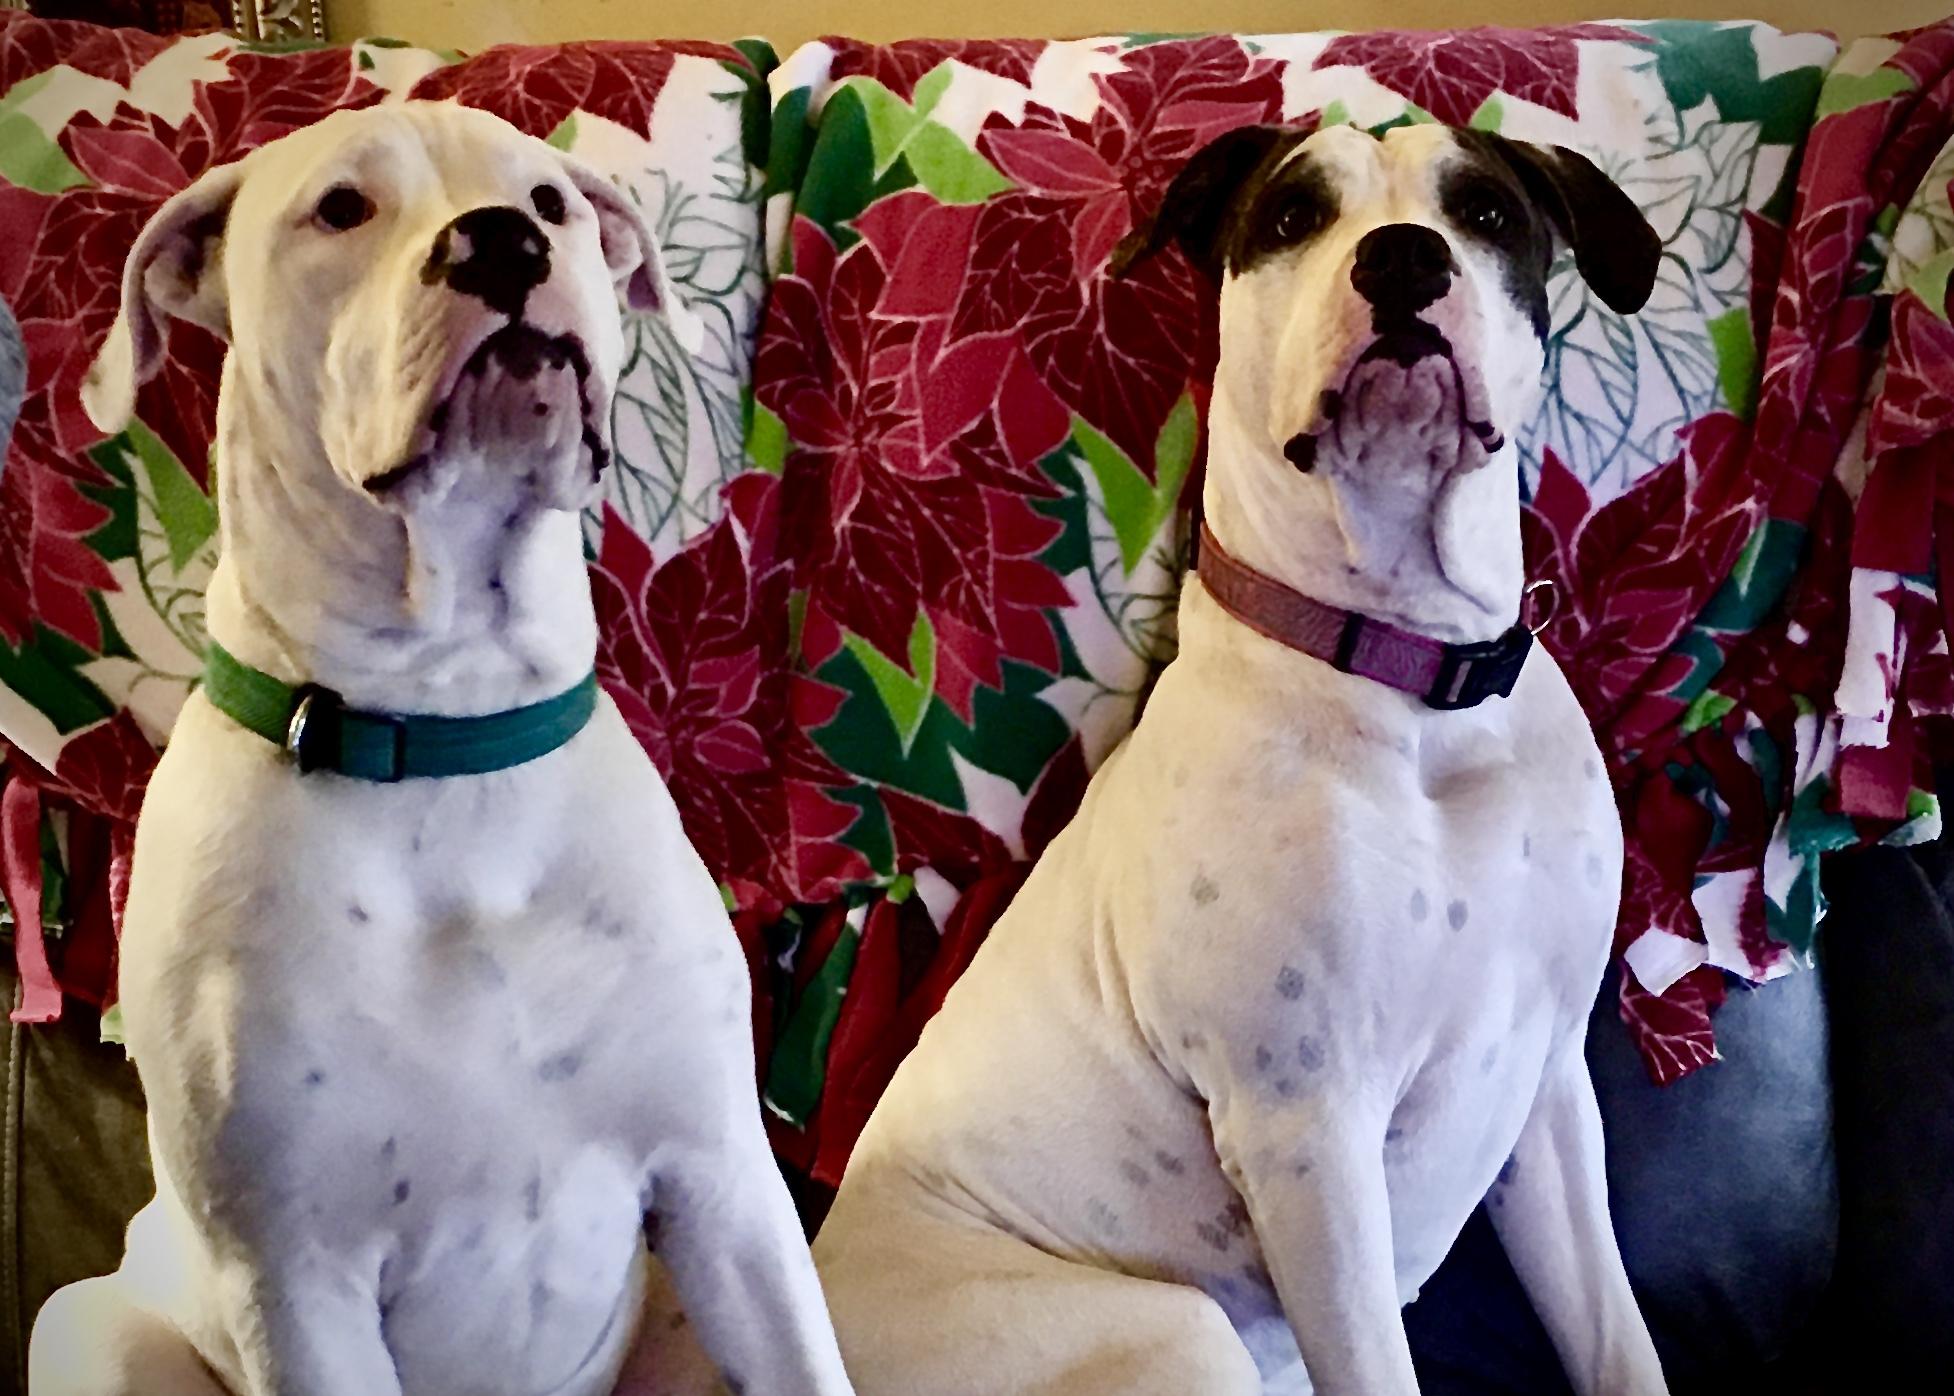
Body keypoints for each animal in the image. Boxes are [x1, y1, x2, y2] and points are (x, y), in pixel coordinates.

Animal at [28, 103, 854, 1396]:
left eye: (553, 201)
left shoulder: (726, 1186)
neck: (448, 723)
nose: (503, 241)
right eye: (340, 209)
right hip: (91, 1329)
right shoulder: (296, 1281)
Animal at [809, 122, 1671, 1396]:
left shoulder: (1548, 1091)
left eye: (1486, 213)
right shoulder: (1307, 1129)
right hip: (1176, 1328)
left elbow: (1619, 1342)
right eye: (1290, 216)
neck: (1411, 677)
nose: (1403, 257)